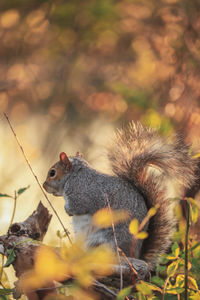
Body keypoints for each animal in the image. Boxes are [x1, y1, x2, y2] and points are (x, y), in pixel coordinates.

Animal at [42, 122, 197, 270]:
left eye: (52, 173)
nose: (44, 186)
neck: (74, 175)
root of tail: (136, 255)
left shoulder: (81, 193)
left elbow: (77, 206)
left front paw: (67, 210)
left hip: (107, 241)